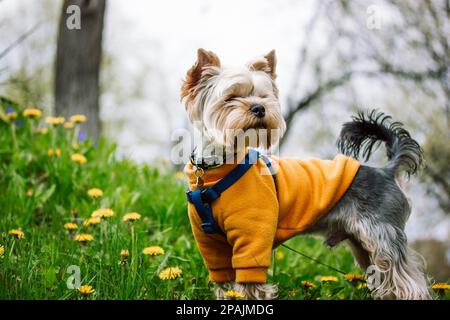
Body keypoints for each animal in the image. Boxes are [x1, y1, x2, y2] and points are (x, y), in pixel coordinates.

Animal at [181, 48, 430, 298]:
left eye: (263, 97)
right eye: (230, 97)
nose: (260, 108)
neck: (216, 169)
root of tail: (387, 171)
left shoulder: (253, 237)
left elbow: (249, 280)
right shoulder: (210, 243)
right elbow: (223, 278)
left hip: (381, 233)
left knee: (406, 278)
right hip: (361, 243)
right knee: (383, 274)